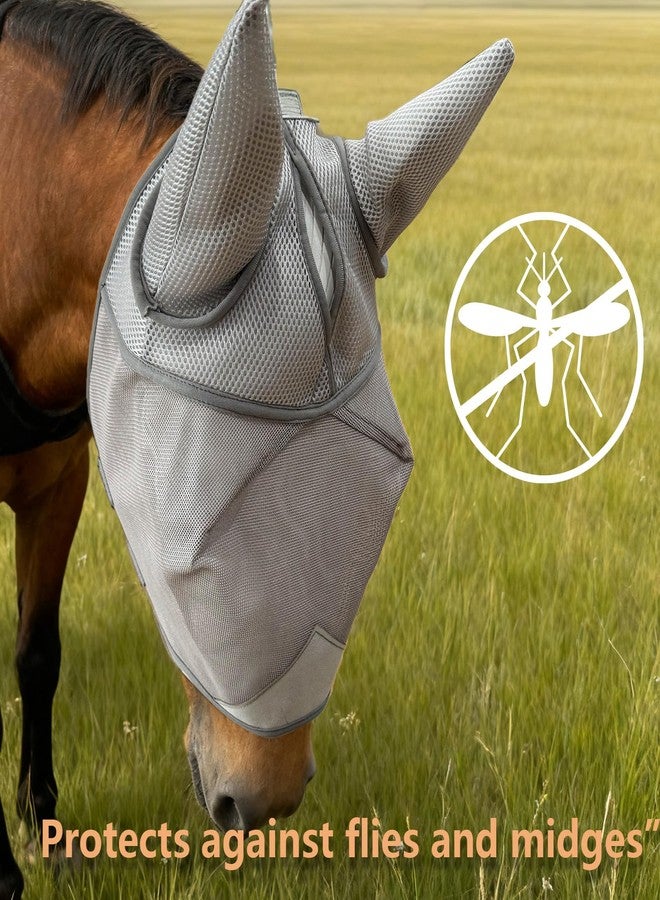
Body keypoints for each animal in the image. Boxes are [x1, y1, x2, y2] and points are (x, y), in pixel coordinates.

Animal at [0, 1, 513, 896]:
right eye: (183, 530)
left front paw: (44, 825)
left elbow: (37, 654)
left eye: (384, 494)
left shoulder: (58, 479)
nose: (265, 800)